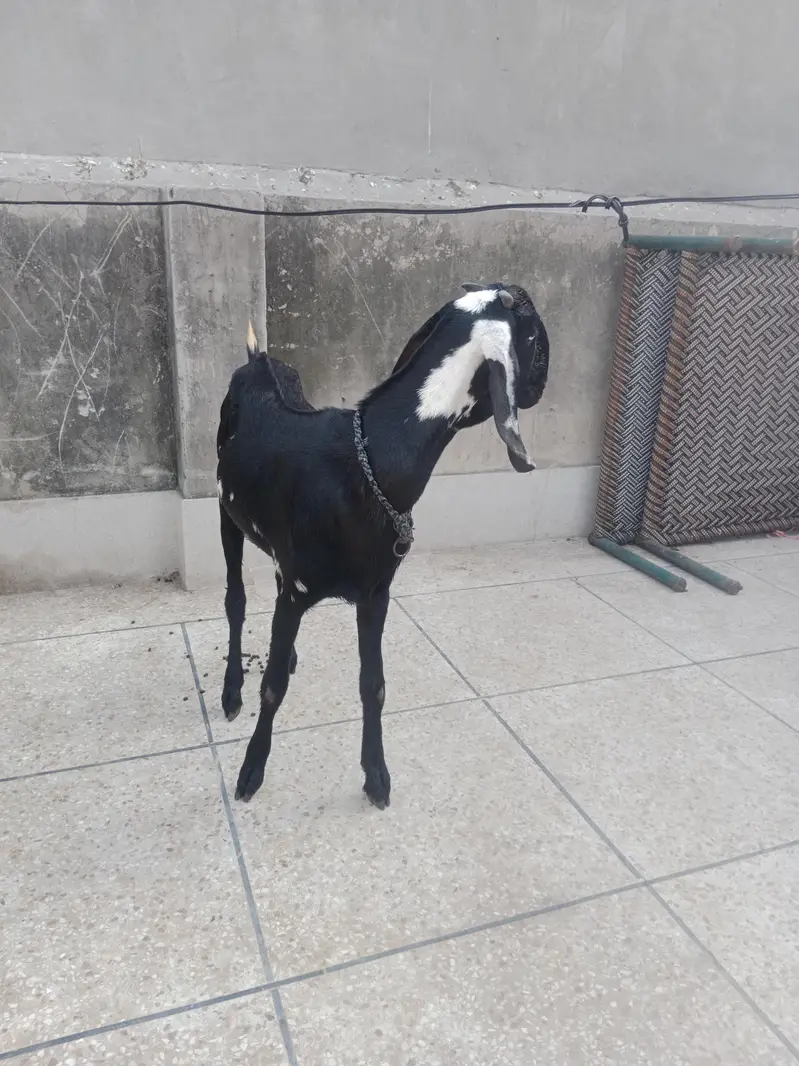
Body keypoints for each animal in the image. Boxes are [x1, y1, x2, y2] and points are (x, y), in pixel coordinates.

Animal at [216, 283, 549, 807]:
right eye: (536, 338)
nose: (540, 385)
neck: (367, 460)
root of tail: (258, 359)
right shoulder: (298, 590)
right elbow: (271, 688)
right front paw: (251, 771)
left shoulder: (375, 594)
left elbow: (373, 685)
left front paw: (376, 776)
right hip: (225, 512)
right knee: (235, 599)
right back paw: (231, 692)